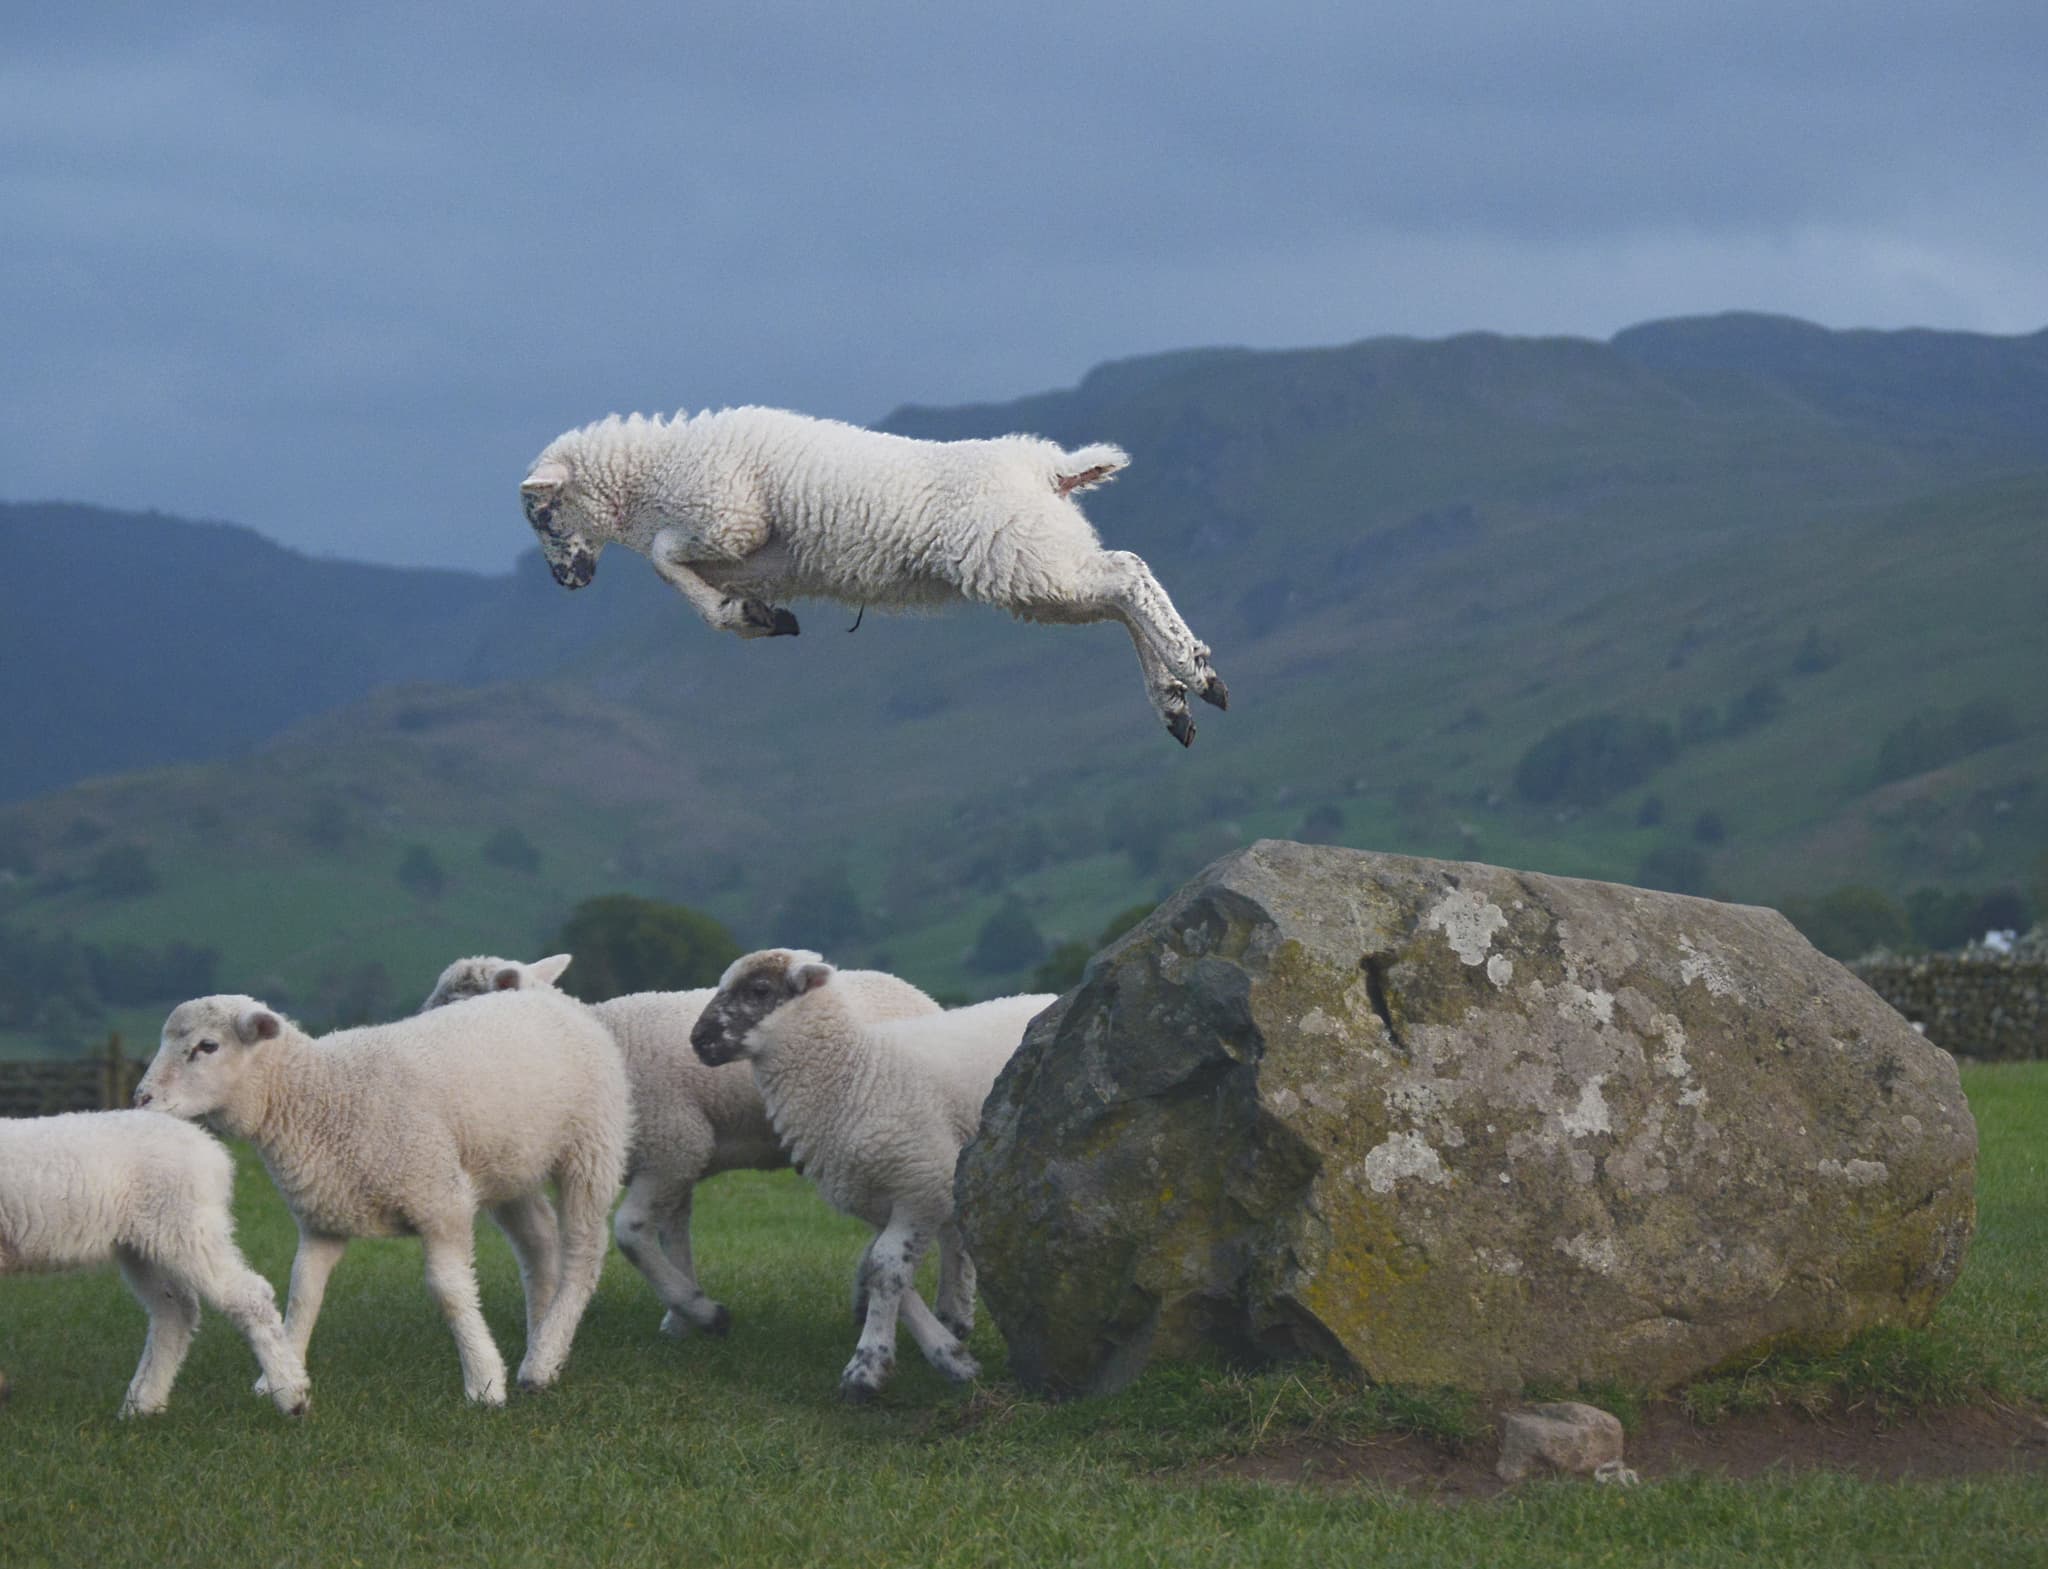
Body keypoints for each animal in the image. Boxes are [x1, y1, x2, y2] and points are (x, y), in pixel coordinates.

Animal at [0, 1106, 311, 1425]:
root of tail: (211, 1149)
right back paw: (143, 1405)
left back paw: (291, 1395)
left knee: (249, 1297)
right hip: (144, 1245)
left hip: (186, 1226)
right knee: (175, 1312)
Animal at [137, 991, 630, 1409]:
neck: (319, 1096)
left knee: (583, 1254)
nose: (140, 1098)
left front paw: (484, 1381)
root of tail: (557, 997)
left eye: (207, 1046)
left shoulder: (440, 1201)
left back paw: (543, 1358)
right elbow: (302, 1293)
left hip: (591, 1148)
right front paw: (282, 1373)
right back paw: (542, 1345)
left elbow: (450, 1293)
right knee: (540, 1243)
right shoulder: (323, 1217)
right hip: (509, 1165)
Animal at [428, 958, 946, 1343]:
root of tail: (924, 997)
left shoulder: (674, 1145)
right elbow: (672, 1237)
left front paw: (702, 1312)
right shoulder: (676, 1160)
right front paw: (682, 1318)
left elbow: (631, 1232)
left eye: (456, 1006)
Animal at [520, 405, 1236, 749]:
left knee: (1127, 575)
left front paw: (747, 618)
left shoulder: (729, 519)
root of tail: (1043, 466)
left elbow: (664, 561)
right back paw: (1174, 699)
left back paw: (1196, 671)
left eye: (543, 515)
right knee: (1119, 594)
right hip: (1037, 558)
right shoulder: (744, 555)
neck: (651, 476)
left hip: (1019, 557)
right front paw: (757, 617)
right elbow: (681, 576)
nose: (566, 584)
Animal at [692, 950, 1056, 1409]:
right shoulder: (877, 1199)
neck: (855, 1072)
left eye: (759, 990)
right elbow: (878, 1268)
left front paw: (867, 1368)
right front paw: (952, 1358)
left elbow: (885, 1269)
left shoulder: (924, 1182)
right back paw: (954, 1318)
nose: (697, 1039)